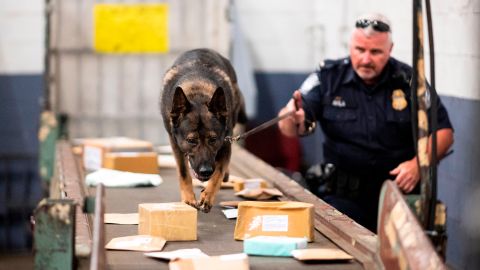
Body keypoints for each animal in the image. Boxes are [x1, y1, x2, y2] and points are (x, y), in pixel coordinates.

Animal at [160, 48, 246, 213]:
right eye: (191, 140)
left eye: (213, 140)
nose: (205, 171)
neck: (197, 92)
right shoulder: (175, 144)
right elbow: (183, 172)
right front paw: (188, 198)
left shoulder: (226, 143)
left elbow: (218, 172)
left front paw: (208, 196)